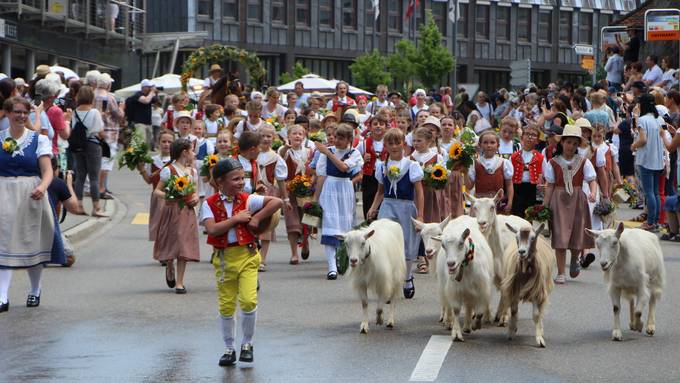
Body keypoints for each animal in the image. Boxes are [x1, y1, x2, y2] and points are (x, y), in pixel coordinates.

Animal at [464, 190, 532, 326]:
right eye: (475, 207)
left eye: (492, 207)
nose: (482, 223)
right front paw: (486, 316)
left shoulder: (508, 273)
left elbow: (507, 291)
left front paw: (504, 318)